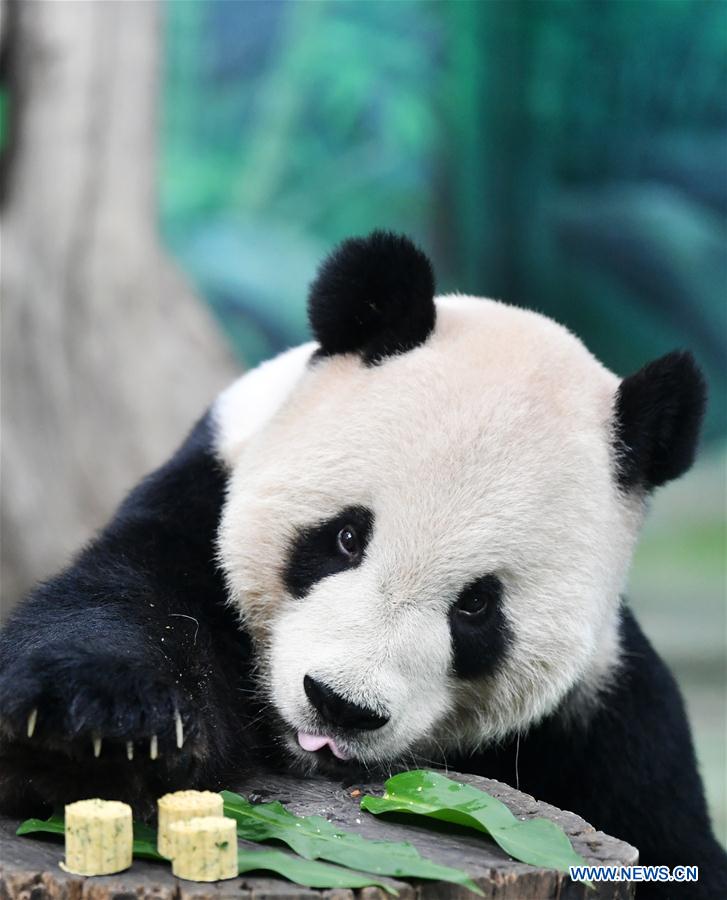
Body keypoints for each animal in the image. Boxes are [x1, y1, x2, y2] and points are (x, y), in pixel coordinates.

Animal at [0, 232, 725, 897]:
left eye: (477, 605)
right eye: (346, 537)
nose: (340, 706)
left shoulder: (605, 718)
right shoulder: (200, 504)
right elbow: (121, 602)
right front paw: (97, 734)